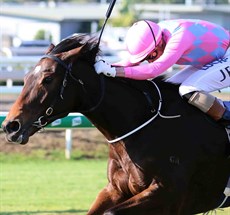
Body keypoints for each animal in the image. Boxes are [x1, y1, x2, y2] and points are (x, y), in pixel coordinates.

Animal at [1, 34, 230, 214]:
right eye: (26, 77)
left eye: (47, 79)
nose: (11, 126)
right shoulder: (115, 189)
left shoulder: (169, 195)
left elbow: (110, 213)